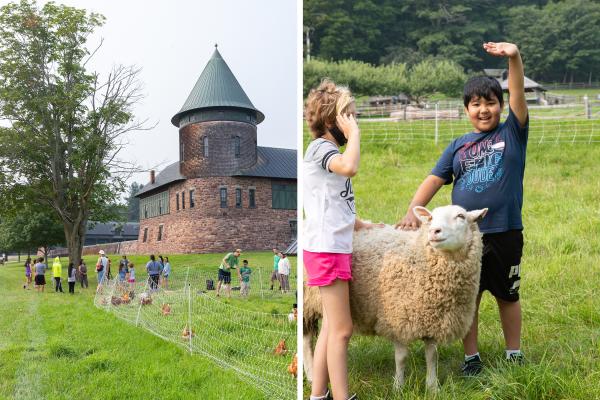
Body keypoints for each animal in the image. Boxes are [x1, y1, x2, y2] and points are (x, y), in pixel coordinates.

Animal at [304, 205, 488, 392]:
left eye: (461, 216)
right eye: (431, 218)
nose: (434, 231)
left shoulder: (432, 320)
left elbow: (432, 356)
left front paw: (432, 387)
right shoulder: (398, 319)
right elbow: (401, 357)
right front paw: (398, 386)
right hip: (308, 302)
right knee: (307, 339)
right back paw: (311, 375)